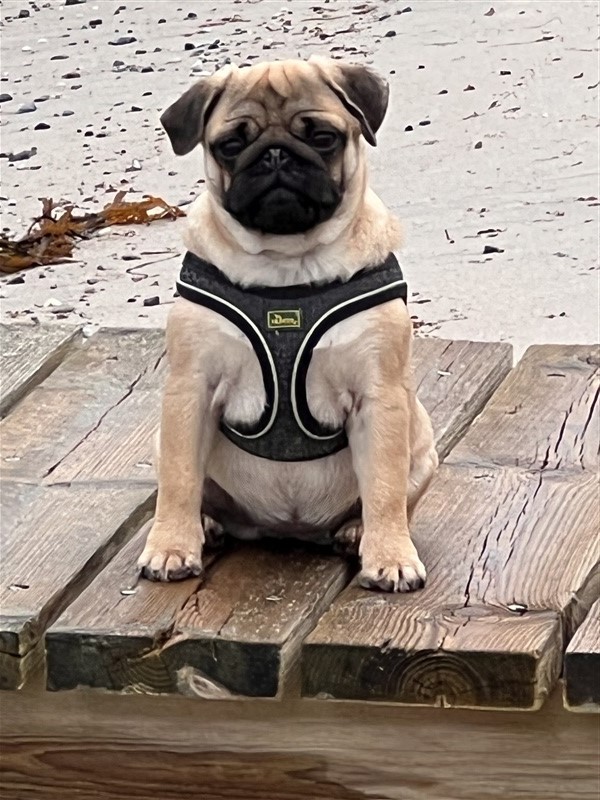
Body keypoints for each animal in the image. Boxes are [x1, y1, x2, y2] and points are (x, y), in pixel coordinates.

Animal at [138, 56, 438, 592]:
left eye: (322, 137)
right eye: (231, 145)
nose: (275, 156)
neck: (288, 265)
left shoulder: (380, 395)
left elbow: (384, 487)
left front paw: (390, 556)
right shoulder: (189, 389)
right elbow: (178, 480)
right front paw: (170, 546)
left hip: (421, 441)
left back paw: (357, 532)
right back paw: (206, 525)